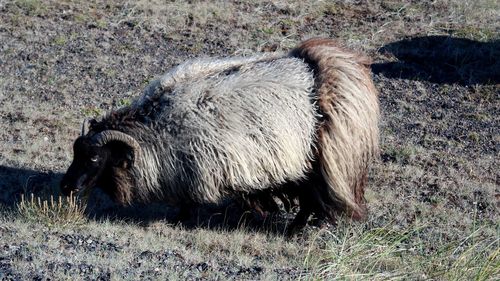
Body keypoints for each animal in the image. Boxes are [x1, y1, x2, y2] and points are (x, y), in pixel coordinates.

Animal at [61, 38, 378, 231]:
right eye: (75, 152)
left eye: (94, 158)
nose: (66, 187)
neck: (158, 127)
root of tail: (318, 74)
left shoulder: (193, 169)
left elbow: (188, 202)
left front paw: (179, 221)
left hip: (311, 162)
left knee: (310, 199)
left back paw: (293, 230)